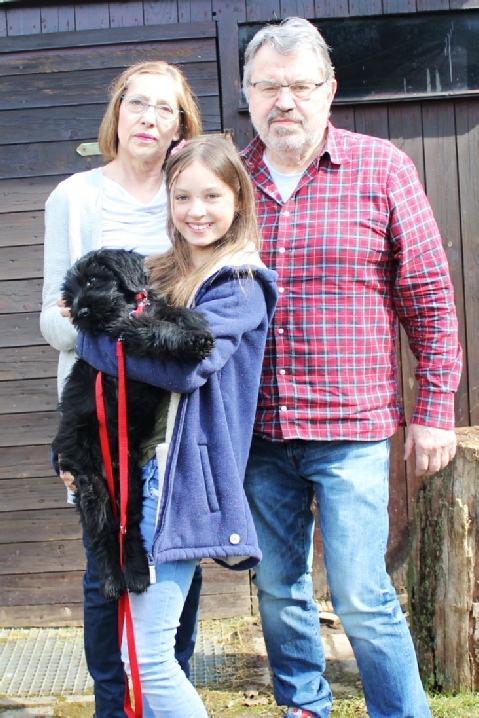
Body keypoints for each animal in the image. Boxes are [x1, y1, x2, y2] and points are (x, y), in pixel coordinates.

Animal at [52, 248, 214, 600]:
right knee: (103, 531)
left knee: (128, 526)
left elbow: (171, 312)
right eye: (69, 296)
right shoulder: (124, 330)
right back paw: (114, 581)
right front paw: (192, 341)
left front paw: (195, 324)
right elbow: (153, 327)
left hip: (130, 482)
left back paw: (138, 574)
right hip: (90, 482)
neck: (128, 306)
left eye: (93, 279)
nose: (80, 312)